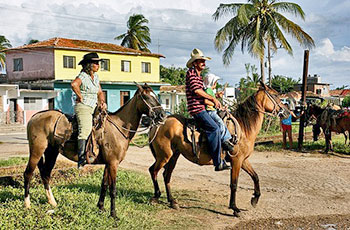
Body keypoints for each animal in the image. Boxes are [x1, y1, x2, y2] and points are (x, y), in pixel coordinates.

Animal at [23, 83, 166, 219]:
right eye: (146, 97)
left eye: (155, 95)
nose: (162, 115)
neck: (119, 127)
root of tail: (35, 116)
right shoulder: (113, 164)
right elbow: (112, 189)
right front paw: (113, 214)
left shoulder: (108, 163)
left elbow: (104, 185)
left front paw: (101, 207)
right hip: (36, 151)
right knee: (28, 174)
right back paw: (27, 204)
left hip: (51, 152)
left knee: (46, 174)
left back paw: (52, 202)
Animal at [146, 82, 288, 217]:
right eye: (275, 95)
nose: (286, 112)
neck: (243, 128)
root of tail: (158, 124)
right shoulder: (236, 161)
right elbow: (234, 184)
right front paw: (235, 208)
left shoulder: (243, 160)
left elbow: (256, 177)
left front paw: (255, 199)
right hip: (164, 156)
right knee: (153, 171)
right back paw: (156, 197)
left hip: (173, 156)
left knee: (166, 175)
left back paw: (172, 201)